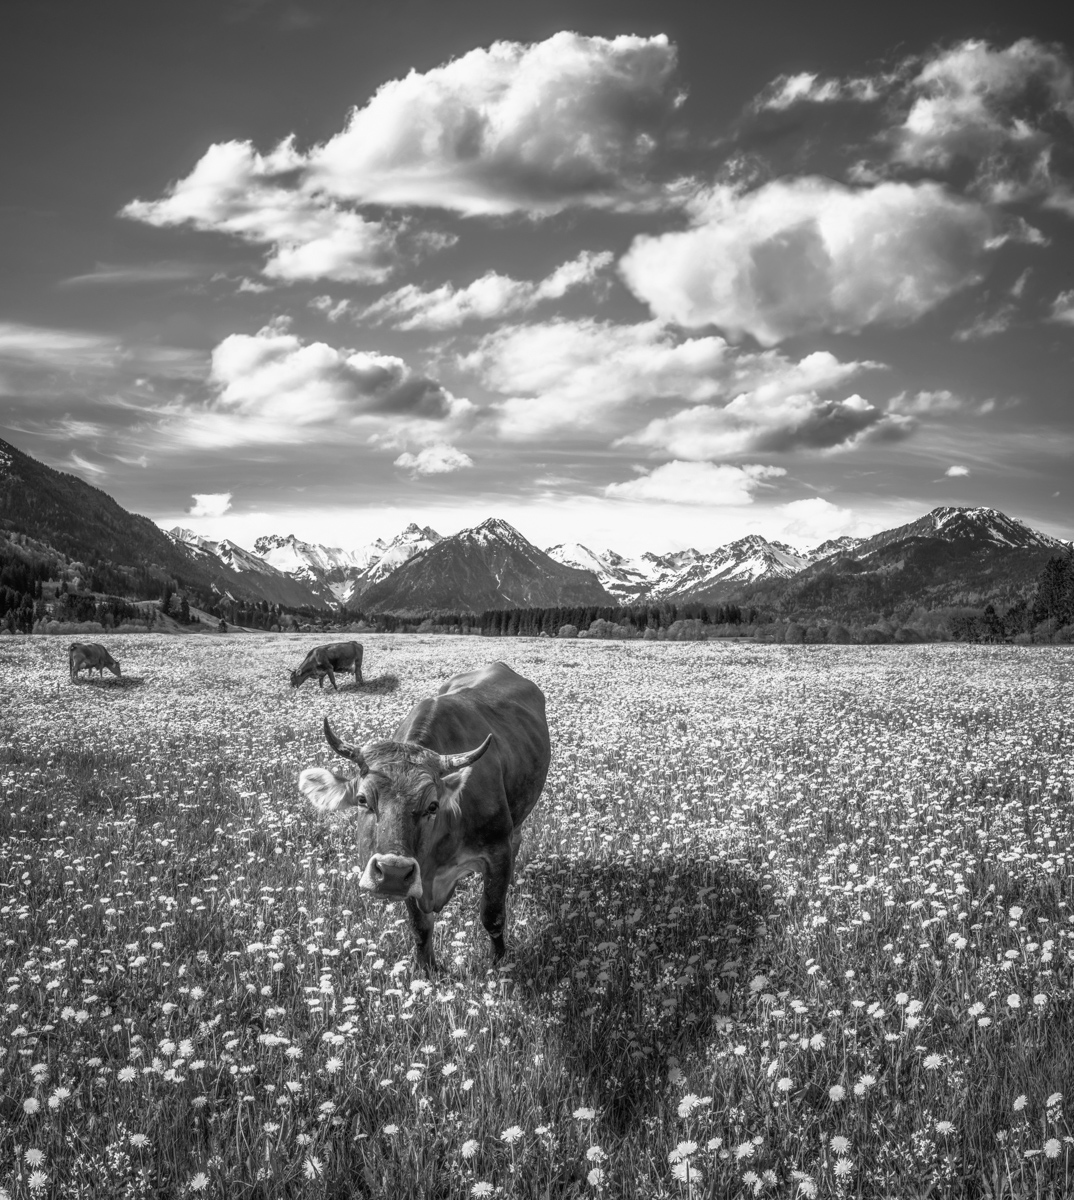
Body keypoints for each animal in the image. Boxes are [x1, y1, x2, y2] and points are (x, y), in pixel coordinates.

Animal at [298, 661, 550, 974]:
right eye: (362, 800)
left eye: (432, 806)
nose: (392, 872)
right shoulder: (415, 878)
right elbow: (420, 927)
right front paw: (428, 970)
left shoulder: (497, 852)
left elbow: (492, 915)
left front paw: (499, 963)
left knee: (517, 839)